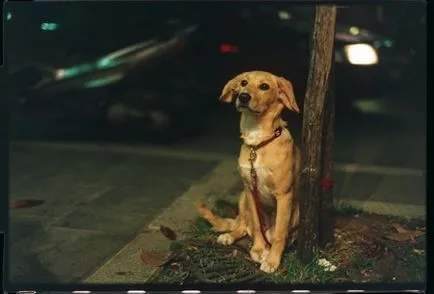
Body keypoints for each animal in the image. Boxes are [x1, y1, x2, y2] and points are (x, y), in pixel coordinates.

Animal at [198, 70, 302, 274]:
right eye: (243, 83)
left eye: (264, 86)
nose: (243, 96)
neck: (258, 143)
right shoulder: (249, 190)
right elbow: (255, 223)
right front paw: (259, 249)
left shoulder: (284, 195)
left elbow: (279, 234)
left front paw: (272, 261)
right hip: (242, 198)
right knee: (245, 226)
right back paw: (230, 235)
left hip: (295, 214)